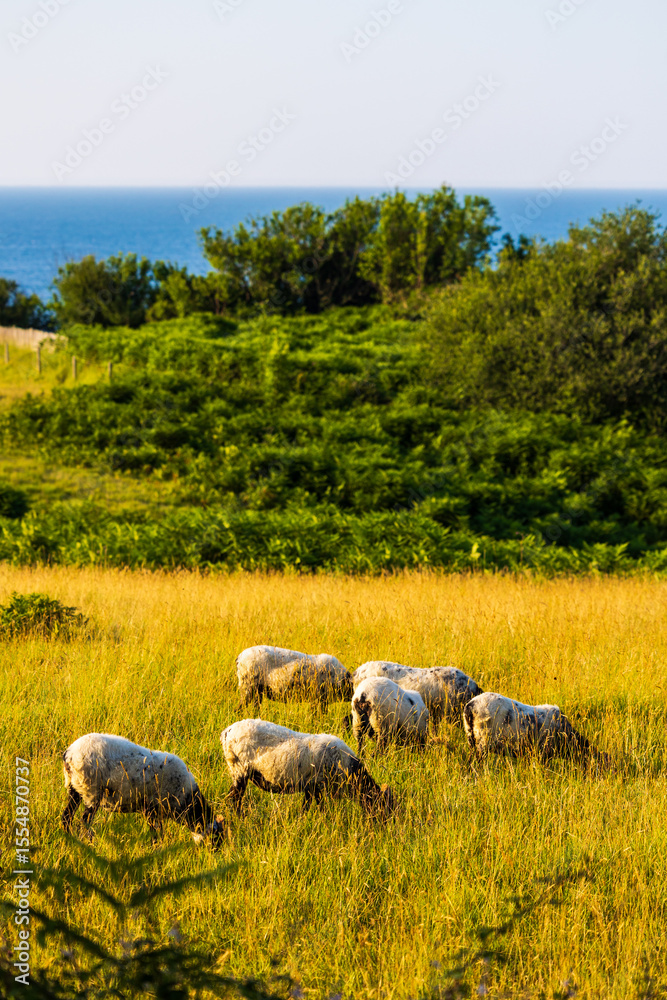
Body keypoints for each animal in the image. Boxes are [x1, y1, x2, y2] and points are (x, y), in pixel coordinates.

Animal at [61, 733, 225, 846]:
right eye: (216, 838)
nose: (215, 853)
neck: (186, 798)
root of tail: (69, 754)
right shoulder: (151, 808)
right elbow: (156, 833)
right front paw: (157, 848)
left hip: (75, 788)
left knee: (66, 816)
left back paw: (69, 838)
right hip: (91, 791)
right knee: (84, 821)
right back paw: (89, 842)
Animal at [220, 719, 395, 819]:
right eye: (383, 805)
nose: (387, 825)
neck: (349, 769)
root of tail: (227, 732)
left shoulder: (310, 787)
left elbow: (307, 807)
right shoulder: (318, 785)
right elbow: (320, 809)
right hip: (239, 770)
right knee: (234, 799)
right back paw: (240, 818)